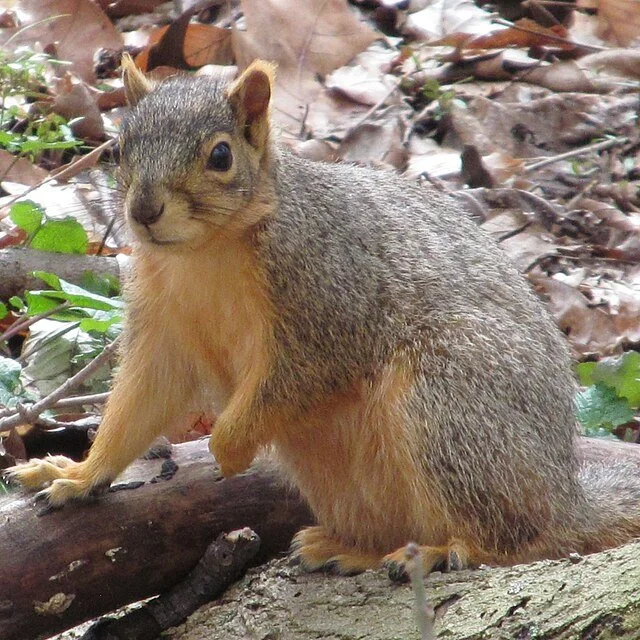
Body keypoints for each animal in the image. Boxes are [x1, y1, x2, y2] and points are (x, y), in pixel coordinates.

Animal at [7, 56, 640, 577]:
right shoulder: (164, 326)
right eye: (118, 147)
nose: (143, 211)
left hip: (449, 399)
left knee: (517, 538)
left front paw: (227, 447)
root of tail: (565, 495)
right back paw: (351, 549)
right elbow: (141, 402)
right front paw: (77, 475)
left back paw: (445, 551)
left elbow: (297, 379)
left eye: (221, 156)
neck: (205, 252)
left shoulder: (331, 305)